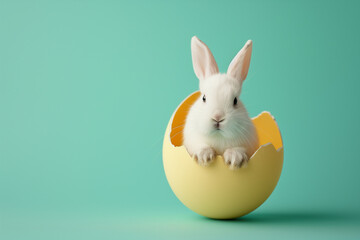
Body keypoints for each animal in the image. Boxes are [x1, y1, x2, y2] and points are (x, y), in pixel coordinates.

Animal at [184, 36, 258, 170]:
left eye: (235, 100)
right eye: (204, 98)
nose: (217, 117)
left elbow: (239, 149)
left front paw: (234, 158)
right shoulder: (192, 140)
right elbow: (200, 145)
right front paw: (205, 157)